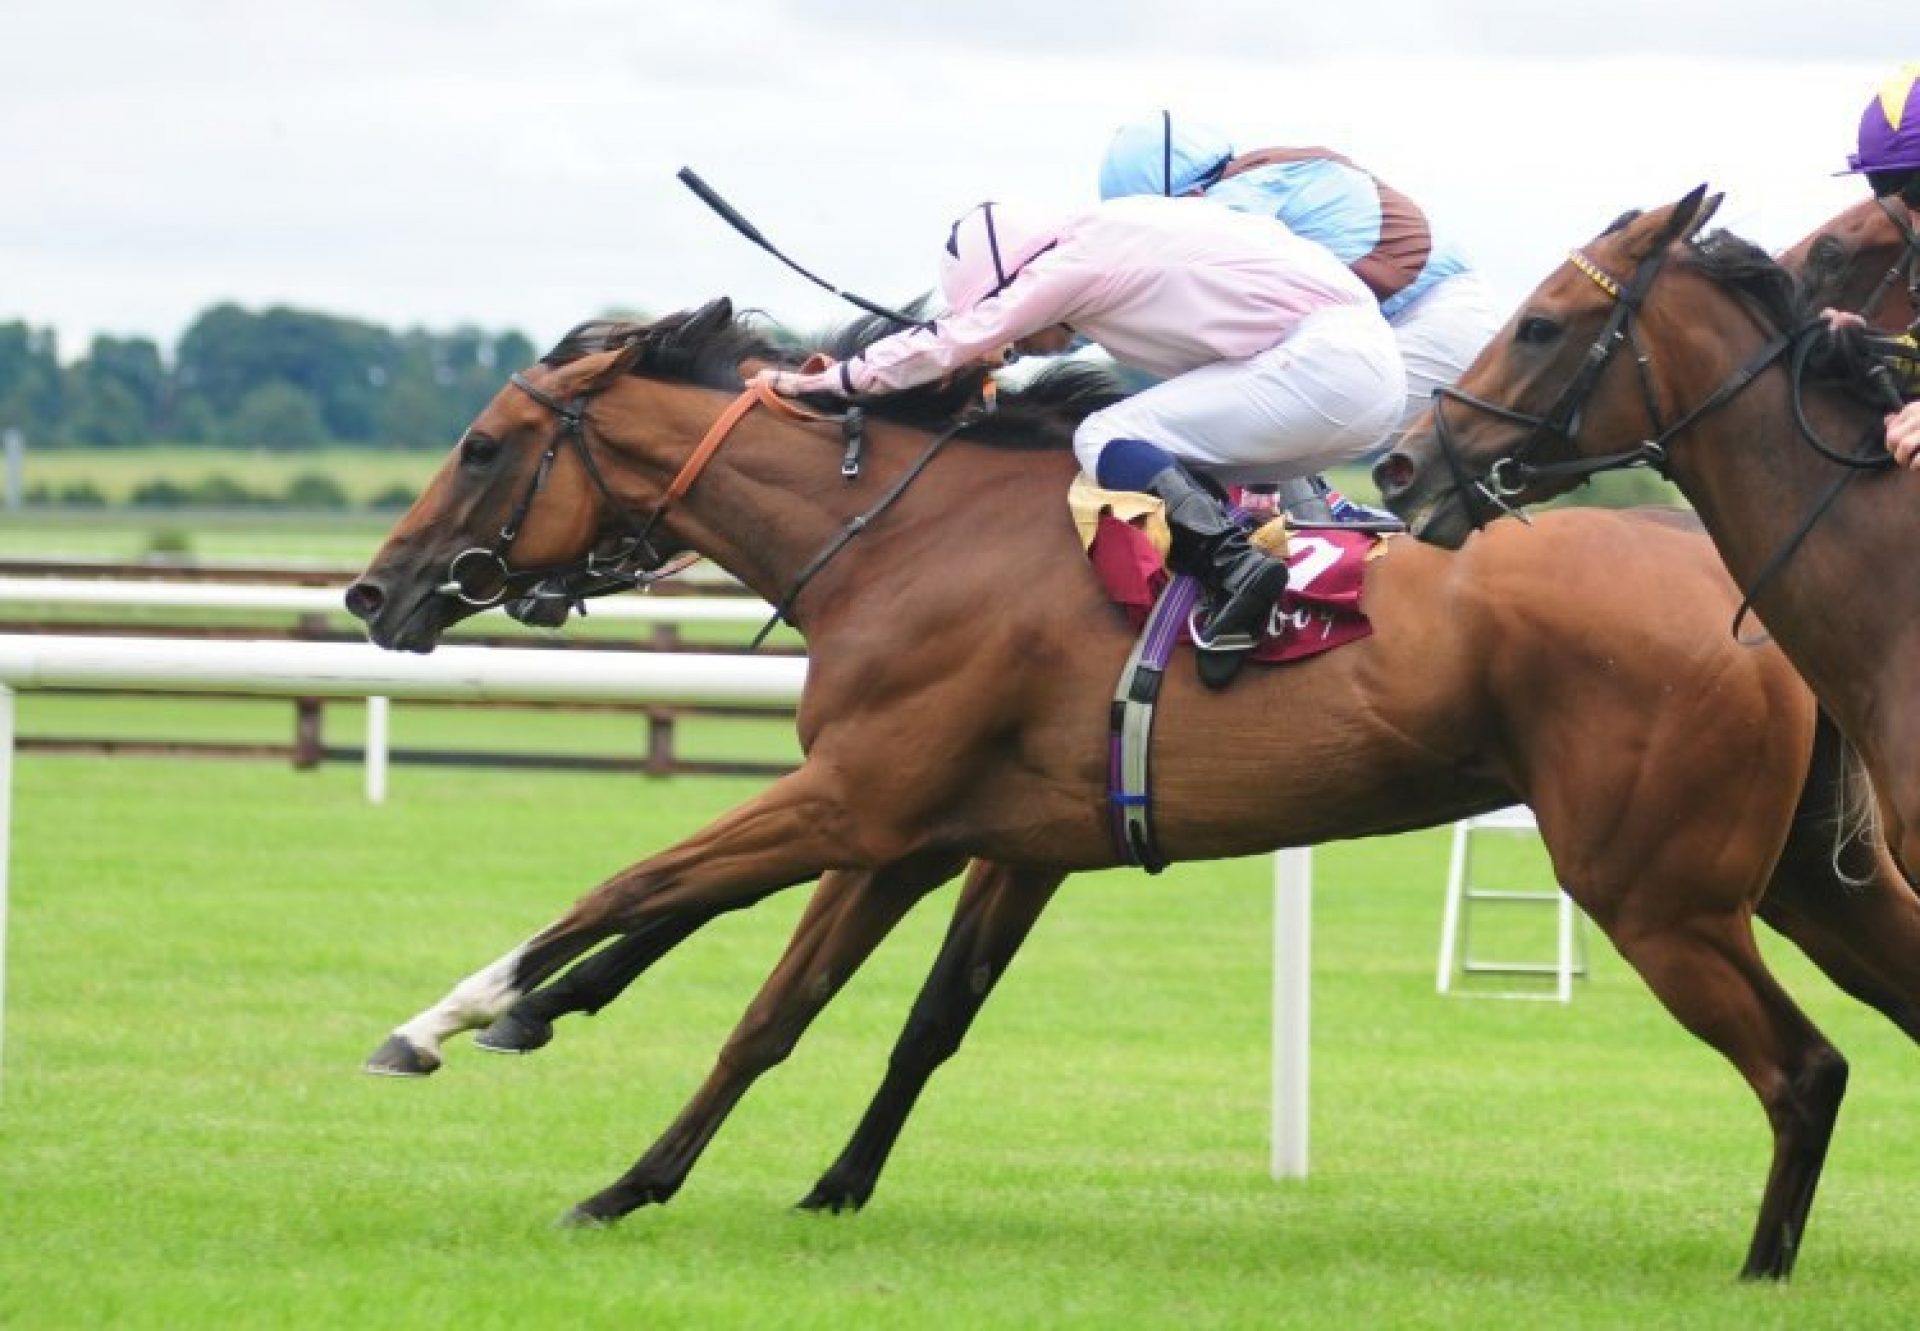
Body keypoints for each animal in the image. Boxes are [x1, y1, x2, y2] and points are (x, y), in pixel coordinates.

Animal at [345, 301, 1920, 1275]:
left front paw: (449, 1022)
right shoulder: (950, 835)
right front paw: (716, 1179)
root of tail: (1747, 591)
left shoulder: (855, 800)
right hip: (1800, 883)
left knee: (1804, 1070)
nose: (376, 589)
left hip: (1657, 892)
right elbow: (819, 1016)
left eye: (481, 444)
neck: (903, 536)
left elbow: (637, 889)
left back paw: (1762, 1268)